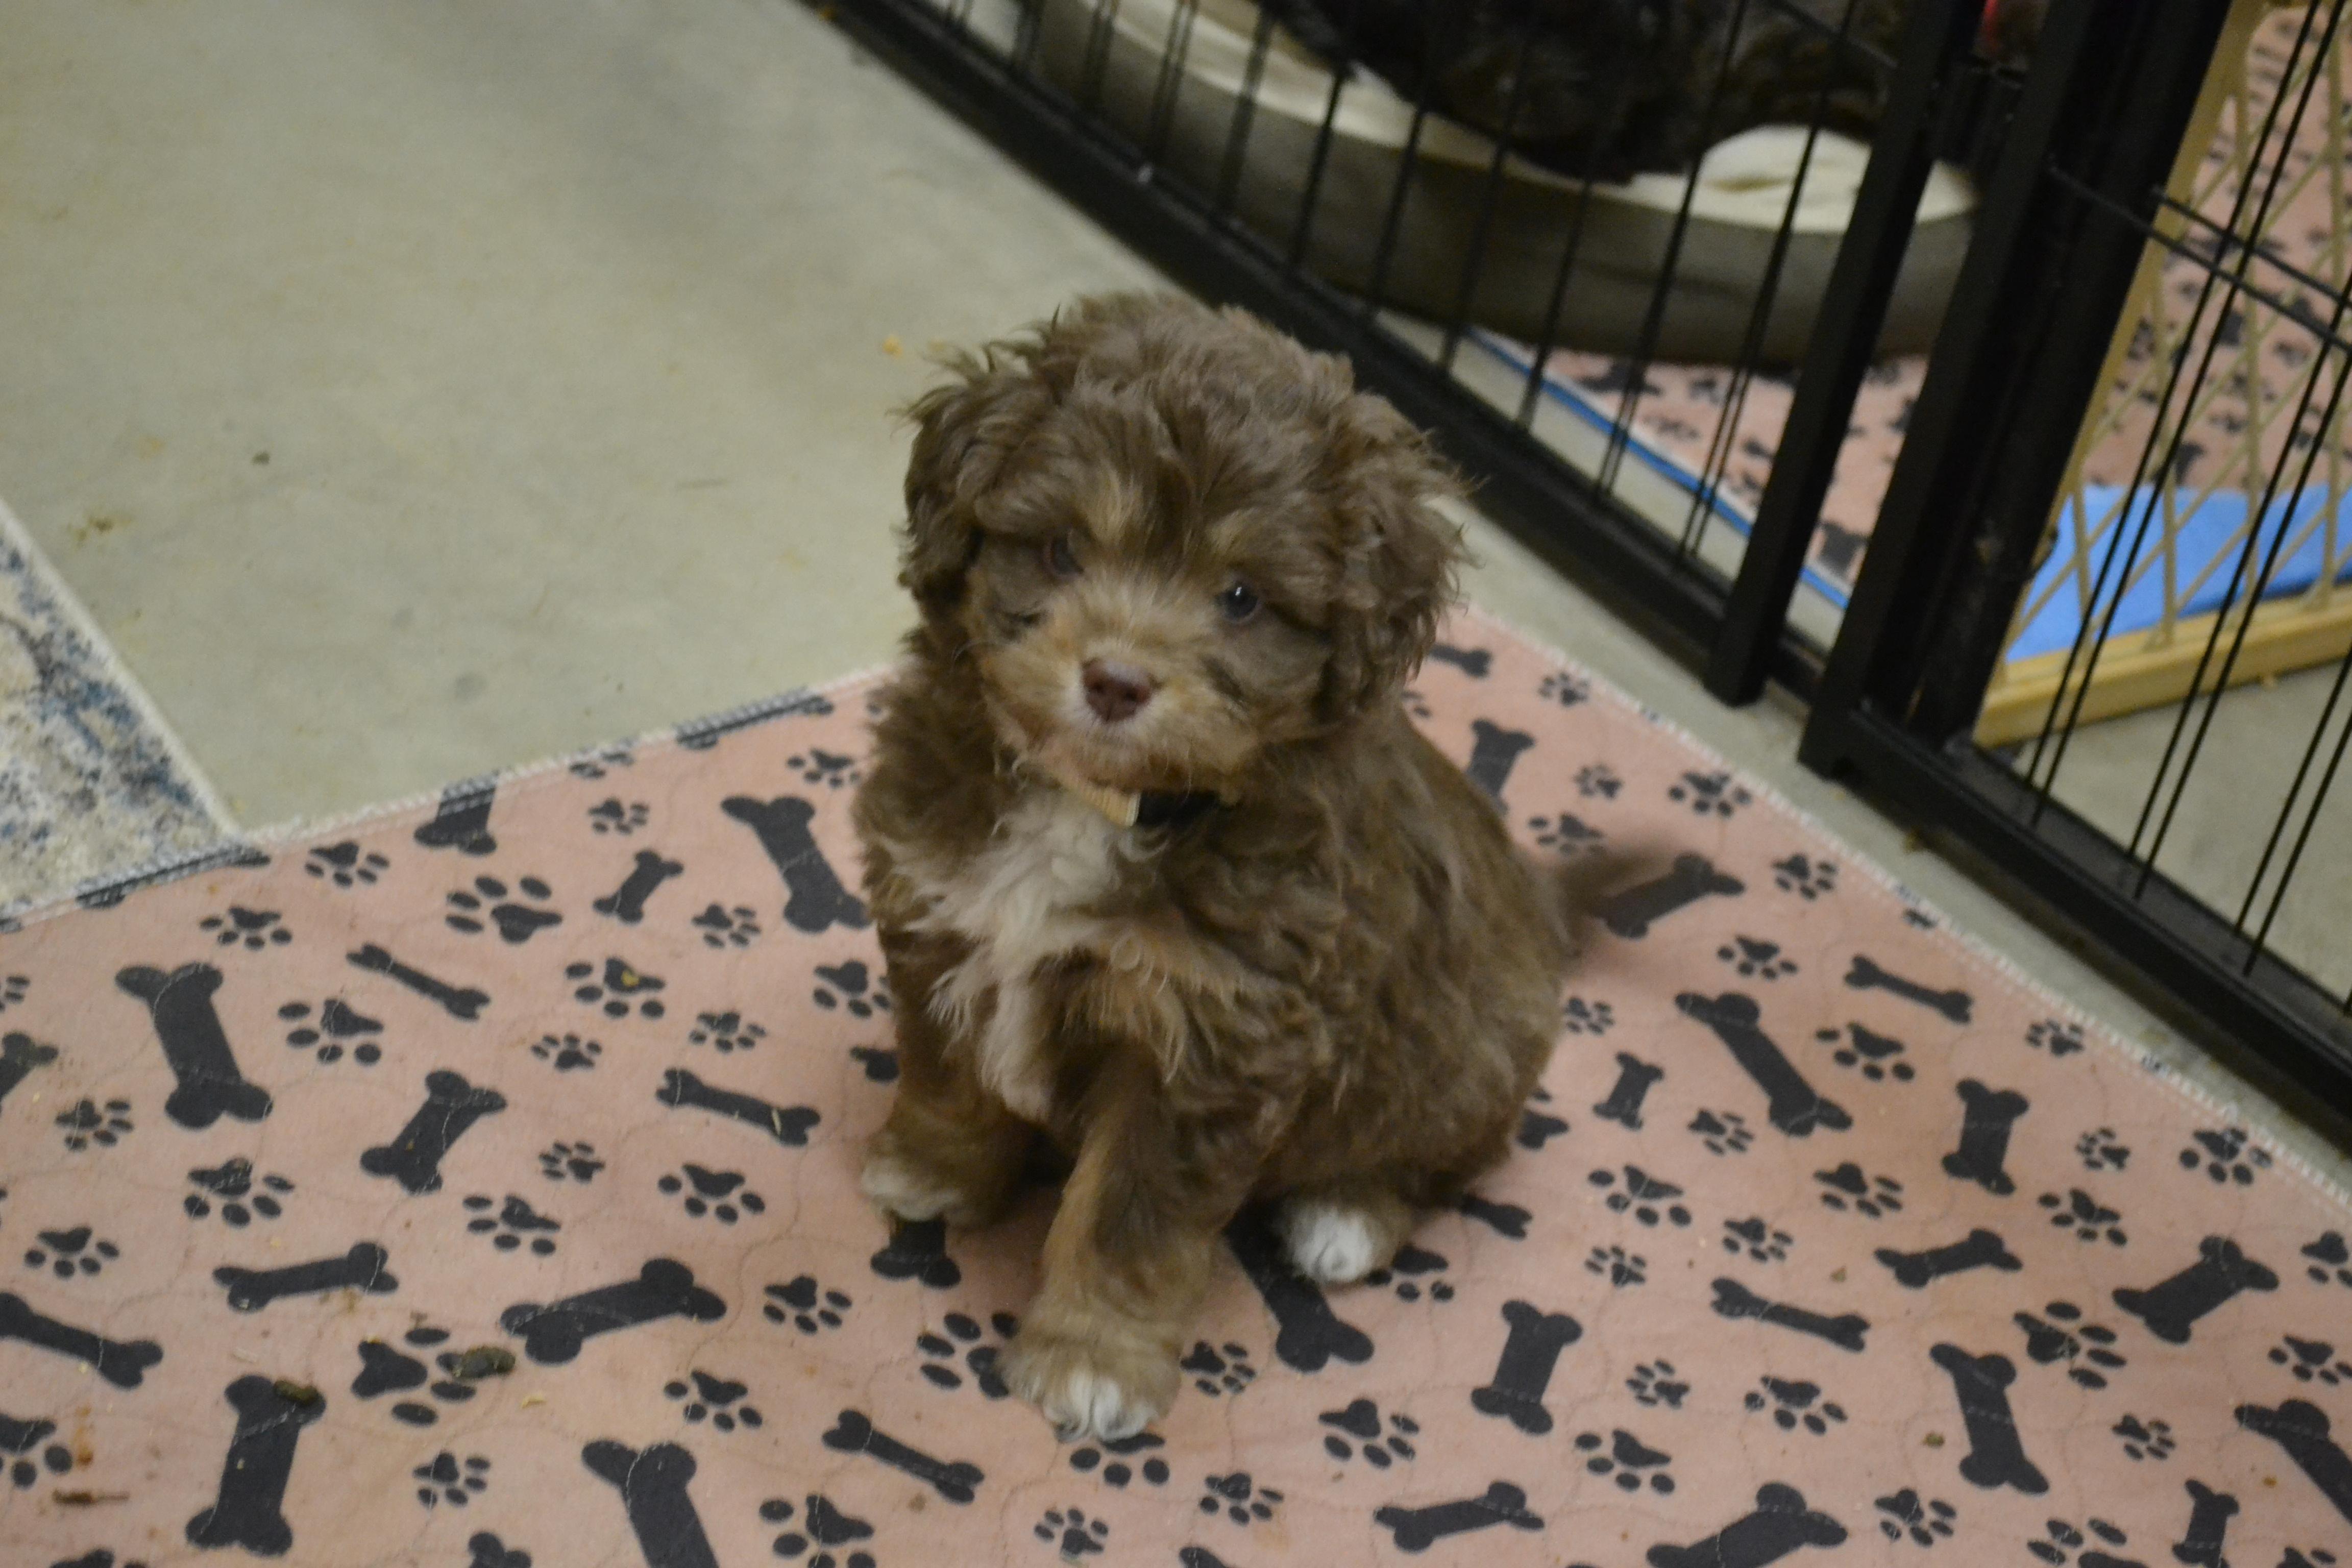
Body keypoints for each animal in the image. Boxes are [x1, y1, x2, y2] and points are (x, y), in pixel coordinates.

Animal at [852, 293, 1577, 1442]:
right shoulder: (940, 908)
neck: (1102, 801)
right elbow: (950, 1075)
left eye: (1240, 598)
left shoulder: (1209, 1045)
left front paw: (1091, 1361)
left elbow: (1127, 1217)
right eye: (1061, 549)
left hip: (1466, 1060)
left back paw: (1345, 1220)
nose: (1114, 680)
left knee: (1439, 1161)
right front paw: (933, 1174)